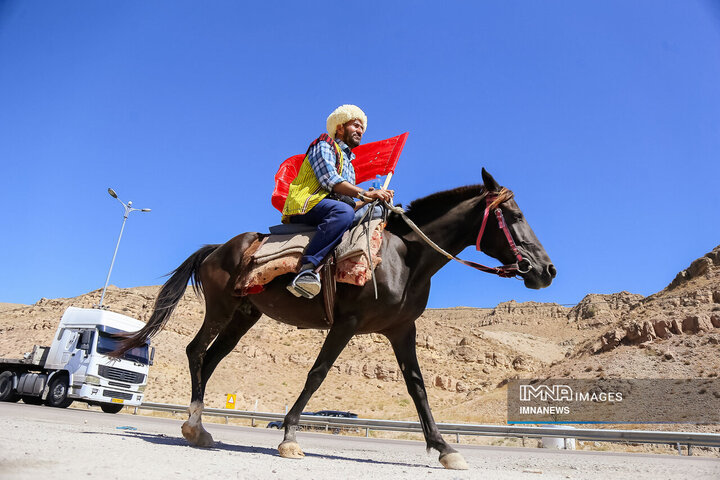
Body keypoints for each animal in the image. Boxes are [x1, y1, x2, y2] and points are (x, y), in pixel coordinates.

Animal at [112, 169, 556, 468]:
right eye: (514, 216)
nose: (546, 270)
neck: (404, 258)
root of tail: (216, 249)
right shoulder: (347, 324)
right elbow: (318, 373)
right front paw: (290, 435)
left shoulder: (401, 329)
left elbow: (417, 387)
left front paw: (445, 448)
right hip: (221, 309)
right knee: (195, 351)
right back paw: (193, 426)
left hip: (244, 314)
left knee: (212, 358)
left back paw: (199, 428)